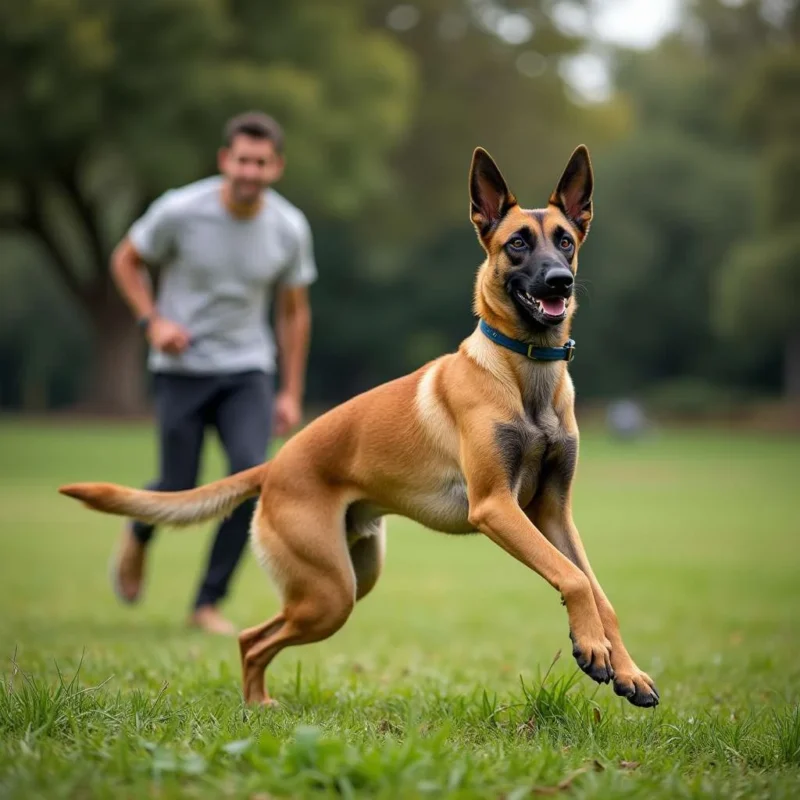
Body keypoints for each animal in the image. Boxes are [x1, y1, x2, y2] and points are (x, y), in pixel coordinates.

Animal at [59, 144, 660, 708]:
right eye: (517, 243)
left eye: (565, 241)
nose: (561, 281)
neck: (525, 372)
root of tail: (273, 465)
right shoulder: (496, 507)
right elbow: (574, 577)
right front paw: (593, 649)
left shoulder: (552, 513)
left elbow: (599, 590)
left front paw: (624, 668)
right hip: (330, 592)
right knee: (253, 638)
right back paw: (255, 707)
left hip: (347, 580)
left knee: (255, 637)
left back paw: (258, 705)